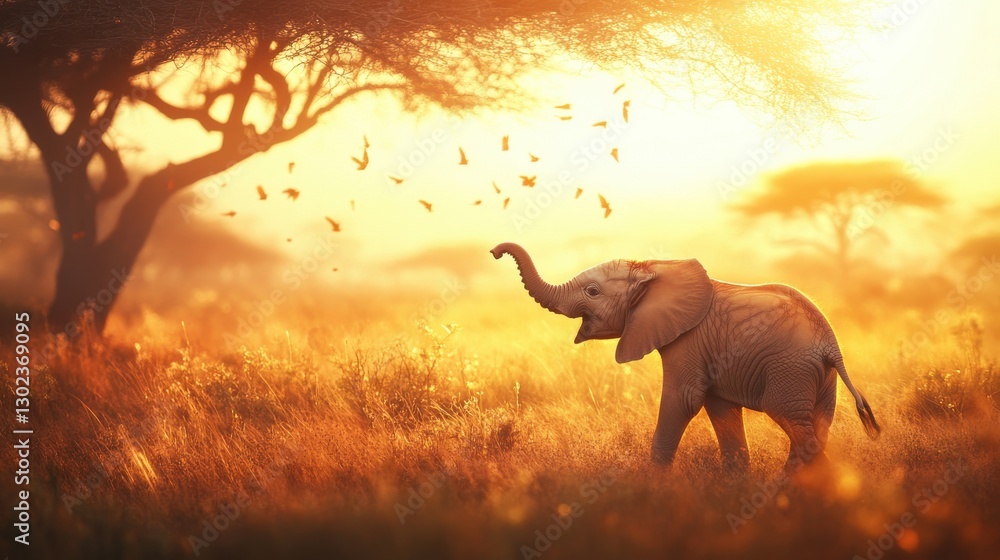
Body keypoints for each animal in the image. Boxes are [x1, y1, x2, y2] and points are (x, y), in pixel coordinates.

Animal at [490, 242, 880, 472]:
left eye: (592, 291)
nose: (494, 252)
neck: (652, 267)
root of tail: (831, 344)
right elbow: (721, 410)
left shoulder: (688, 341)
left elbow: (684, 400)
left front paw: (654, 488)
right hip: (819, 377)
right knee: (816, 426)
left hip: (790, 369)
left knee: (796, 426)